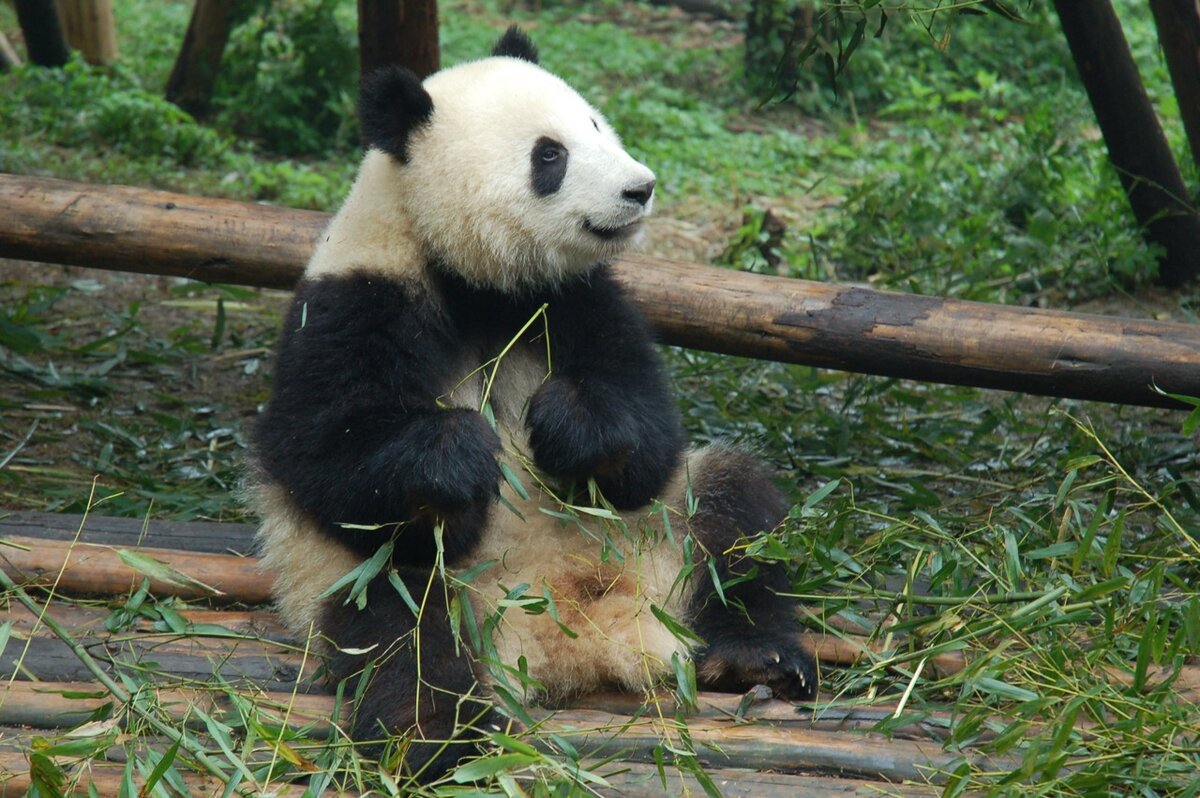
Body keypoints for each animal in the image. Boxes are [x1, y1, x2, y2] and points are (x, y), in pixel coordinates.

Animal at [248, 28, 820, 782]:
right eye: (549, 155)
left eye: (597, 125)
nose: (639, 188)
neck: (479, 283)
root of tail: (576, 639)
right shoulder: (353, 301)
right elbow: (321, 455)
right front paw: (458, 451)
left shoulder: (582, 299)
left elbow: (648, 428)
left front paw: (570, 425)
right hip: (393, 584)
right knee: (404, 622)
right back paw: (438, 741)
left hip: (668, 529)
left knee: (736, 512)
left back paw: (757, 656)